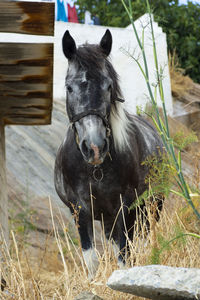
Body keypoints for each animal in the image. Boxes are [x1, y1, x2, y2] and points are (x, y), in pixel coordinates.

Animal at [54, 28, 164, 276]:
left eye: (108, 86)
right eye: (69, 87)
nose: (94, 147)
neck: (95, 169)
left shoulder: (125, 206)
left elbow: (124, 255)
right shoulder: (80, 210)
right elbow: (92, 260)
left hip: (151, 206)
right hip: (107, 218)